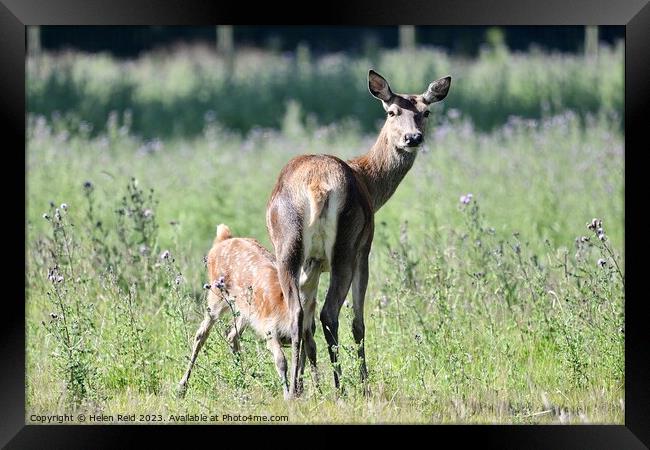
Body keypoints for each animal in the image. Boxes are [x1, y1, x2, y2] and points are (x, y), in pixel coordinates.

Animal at [180, 224, 296, 398]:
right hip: (216, 296)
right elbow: (281, 361)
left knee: (232, 335)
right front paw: (288, 396)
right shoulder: (269, 330)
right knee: (201, 333)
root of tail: (223, 239)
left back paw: (241, 378)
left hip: (244, 310)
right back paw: (182, 386)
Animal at [266, 69, 448, 398]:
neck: (369, 183)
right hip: (347, 244)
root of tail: (317, 186)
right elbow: (358, 322)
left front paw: (309, 385)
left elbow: (307, 322)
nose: (413, 138)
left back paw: (295, 390)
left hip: (287, 243)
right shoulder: (365, 248)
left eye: (426, 112)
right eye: (392, 112)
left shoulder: (313, 263)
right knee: (330, 313)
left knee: (298, 314)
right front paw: (363, 382)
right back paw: (343, 388)